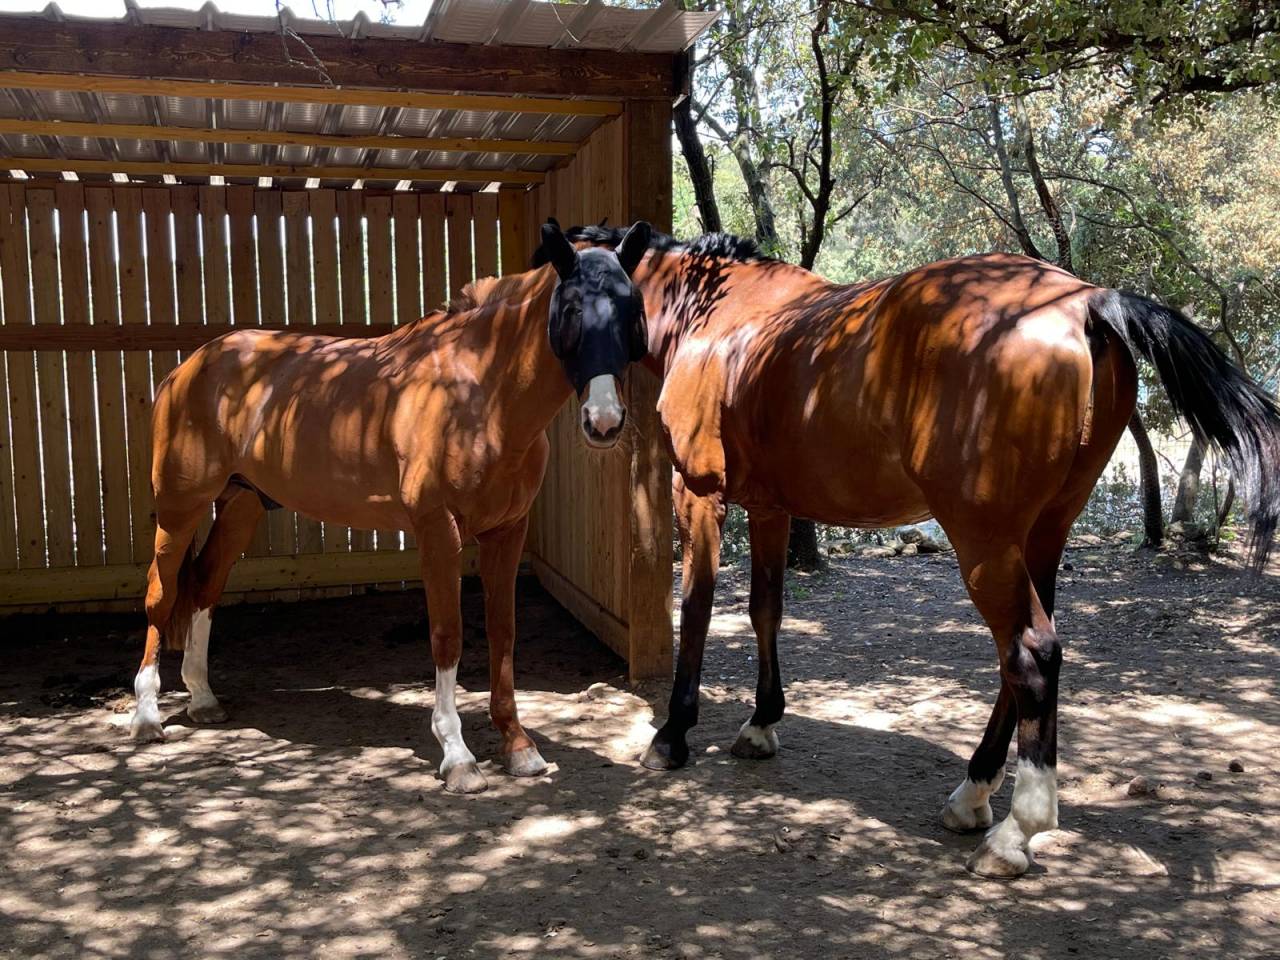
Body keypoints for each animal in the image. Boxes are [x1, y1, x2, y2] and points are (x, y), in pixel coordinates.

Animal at [129, 219, 653, 795]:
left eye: (631, 307)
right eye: (573, 308)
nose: (604, 421)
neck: (480, 393)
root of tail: (190, 367)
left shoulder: (507, 531)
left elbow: (504, 632)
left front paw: (518, 746)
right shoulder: (437, 530)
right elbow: (447, 636)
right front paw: (458, 756)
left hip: (241, 505)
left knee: (205, 586)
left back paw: (202, 698)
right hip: (180, 508)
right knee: (161, 593)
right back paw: (147, 716)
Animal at [538, 226, 1280, 875]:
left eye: (618, 304)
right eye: (573, 304)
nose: (602, 420)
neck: (721, 315)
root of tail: (1082, 299)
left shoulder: (699, 494)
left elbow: (695, 610)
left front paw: (673, 734)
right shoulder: (773, 508)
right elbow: (765, 610)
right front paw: (761, 724)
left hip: (983, 541)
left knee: (1032, 654)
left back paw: (1015, 834)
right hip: (1042, 534)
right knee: (1020, 662)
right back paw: (973, 795)